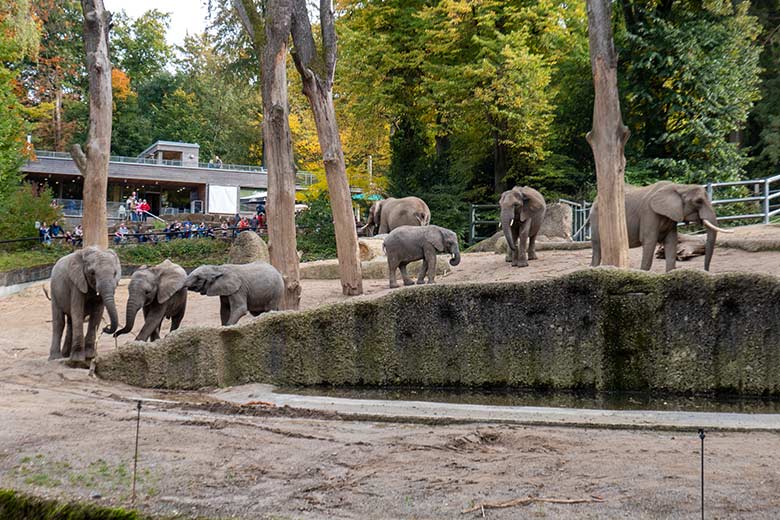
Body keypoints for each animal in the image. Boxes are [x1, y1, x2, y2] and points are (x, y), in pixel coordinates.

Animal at [596, 181, 736, 272]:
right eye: (698, 201)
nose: (706, 270)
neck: (680, 187)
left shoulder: (672, 215)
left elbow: (671, 242)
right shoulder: (649, 213)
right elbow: (649, 241)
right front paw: (643, 274)